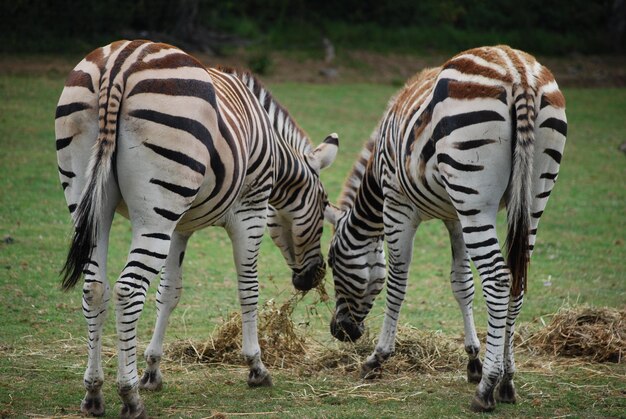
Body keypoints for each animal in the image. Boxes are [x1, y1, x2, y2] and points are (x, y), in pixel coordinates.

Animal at [54, 40, 336, 419]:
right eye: (323, 205)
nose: (314, 276)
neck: (275, 156)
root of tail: (120, 62)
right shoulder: (251, 210)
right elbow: (249, 289)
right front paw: (256, 367)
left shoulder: (179, 226)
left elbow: (169, 293)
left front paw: (153, 370)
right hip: (156, 210)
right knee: (128, 291)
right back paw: (129, 396)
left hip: (92, 200)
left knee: (95, 288)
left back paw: (94, 393)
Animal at [322, 44, 564, 412]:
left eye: (333, 262)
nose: (340, 331)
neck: (377, 175)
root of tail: (518, 70)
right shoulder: (455, 215)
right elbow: (461, 284)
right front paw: (473, 360)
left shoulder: (398, 206)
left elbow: (397, 282)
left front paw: (377, 358)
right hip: (532, 195)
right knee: (517, 280)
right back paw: (507, 380)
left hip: (475, 196)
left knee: (498, 279)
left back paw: (487, 390)